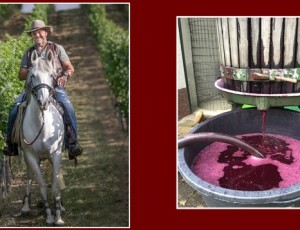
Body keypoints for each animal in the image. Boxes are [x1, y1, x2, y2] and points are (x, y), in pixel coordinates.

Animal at [19, 49, 65, 226]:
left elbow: (55, 185)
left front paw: (58, 217)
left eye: (52, 75)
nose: (43, 102)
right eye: (32, 75)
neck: (42, 124)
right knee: (30, 176)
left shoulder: (56, 154)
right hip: (28, 158)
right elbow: (43, 187)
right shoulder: (31, 156)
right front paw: (49, 216)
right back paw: (25, 206)